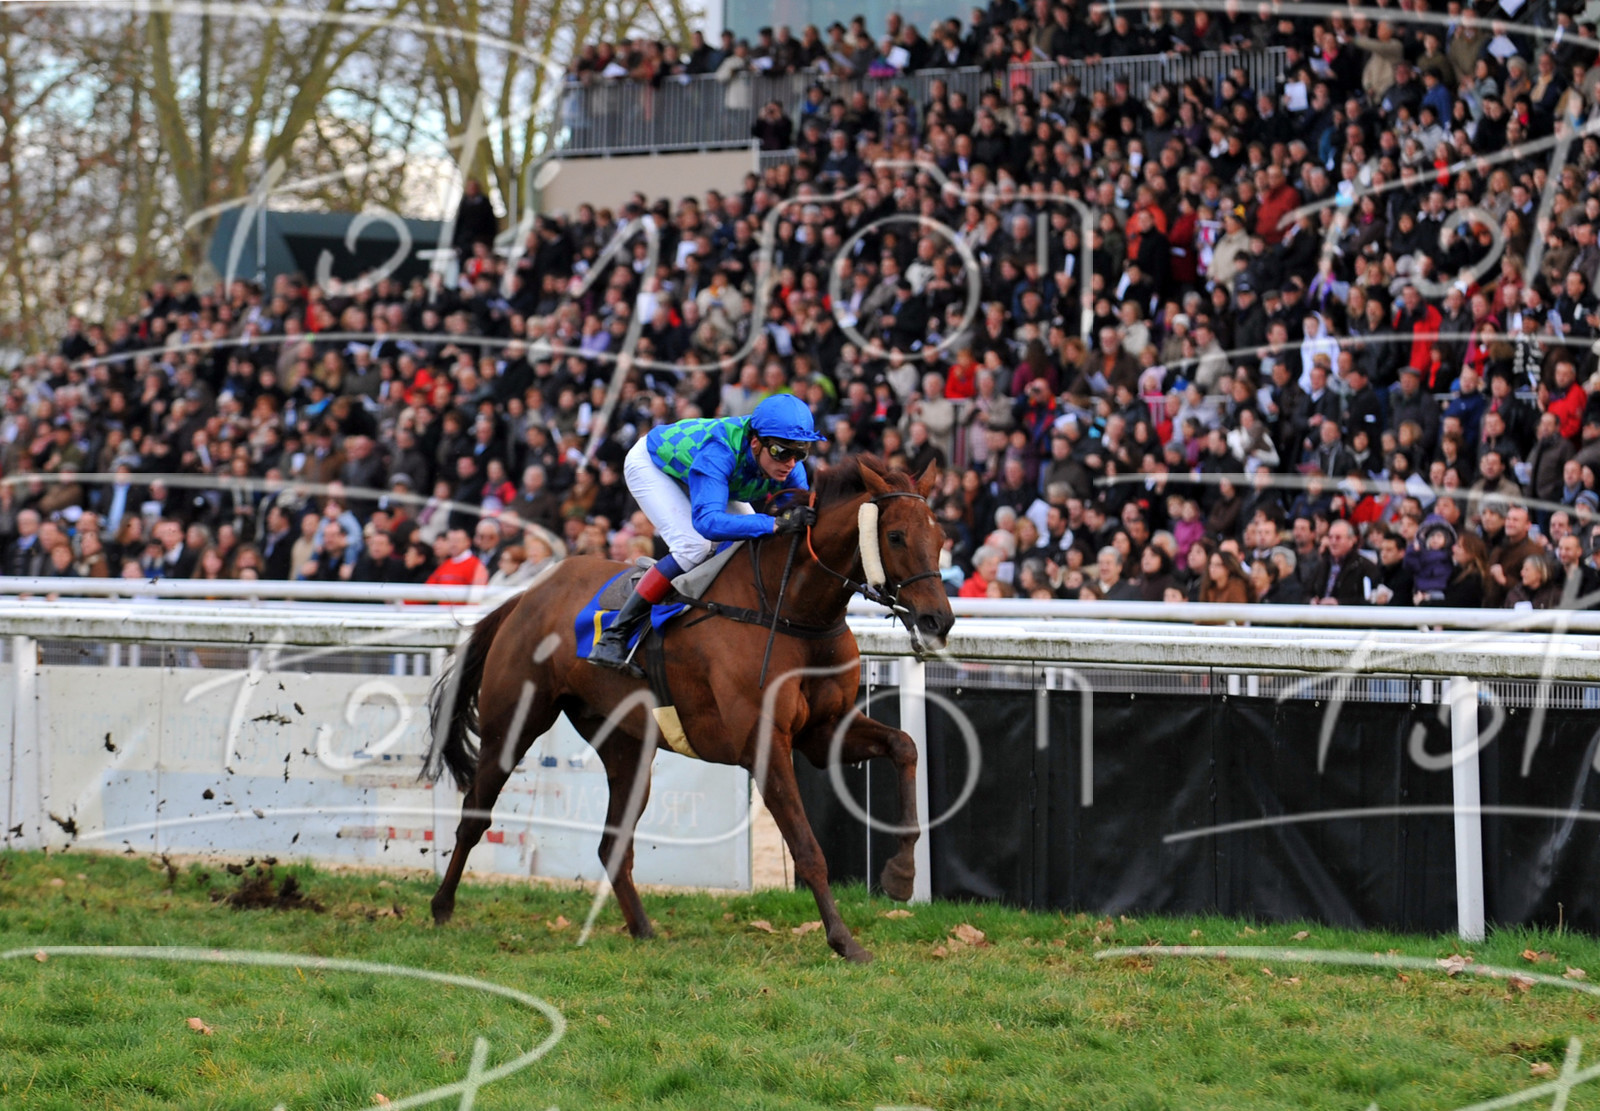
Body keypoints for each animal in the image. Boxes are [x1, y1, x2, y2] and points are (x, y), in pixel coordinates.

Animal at [423, 454, 954, 962]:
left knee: (612, 844)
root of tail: (526, 596)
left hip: (625, 743)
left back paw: (642, 928)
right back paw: (442, 907)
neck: (791, 611)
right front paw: (845, 941)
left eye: (941, 535)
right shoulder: (765, 744)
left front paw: (901, 875)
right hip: (512, 723)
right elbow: (807, 848)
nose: (938, 620)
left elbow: (905, 746)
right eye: (896, 535)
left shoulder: (824, 732)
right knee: (474, 815)